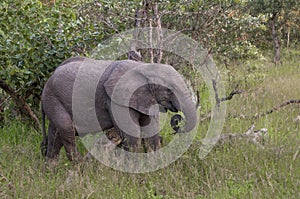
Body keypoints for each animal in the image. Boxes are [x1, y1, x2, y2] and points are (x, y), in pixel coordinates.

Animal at [41, 57, 197, 160]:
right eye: (169, 90)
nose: (177, 121)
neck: (144, 67)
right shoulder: (115, 100)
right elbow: (132, 133)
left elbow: (150, 130)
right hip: (53, 99)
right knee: (67, 131)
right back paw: (80, 165)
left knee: (55, 136)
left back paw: (50, 170)